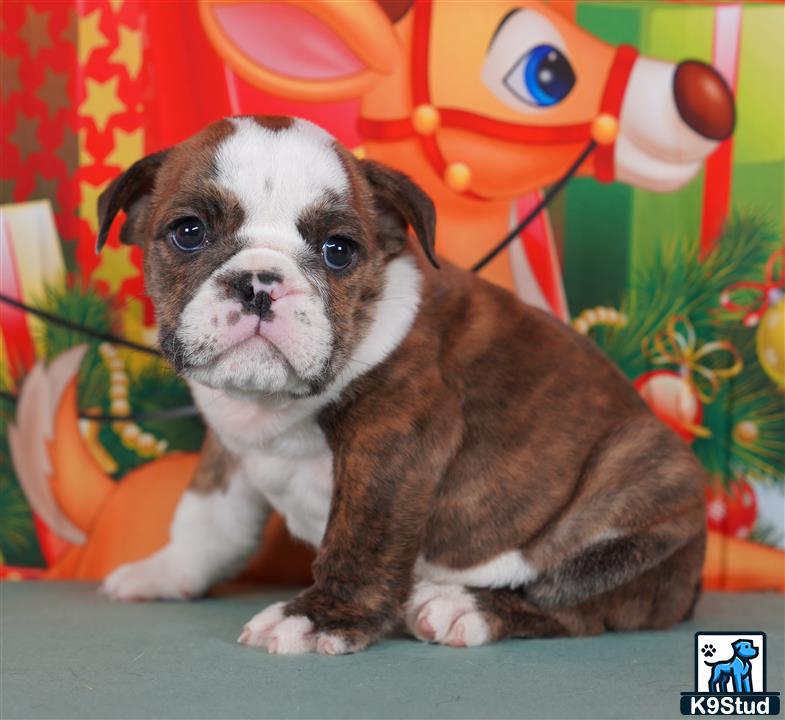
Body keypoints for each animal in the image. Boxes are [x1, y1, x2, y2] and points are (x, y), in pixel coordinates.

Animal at [96, 116, 704, 652]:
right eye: (189, 232)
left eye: (339, 250)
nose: (260, 283)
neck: (273, 405)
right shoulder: (229, 445)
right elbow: (208, 519)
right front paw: (167, 570)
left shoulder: (394, 441)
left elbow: (360, 536)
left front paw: (318, 618)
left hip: (644, 473)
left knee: (576, 600)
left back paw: (464, 605)